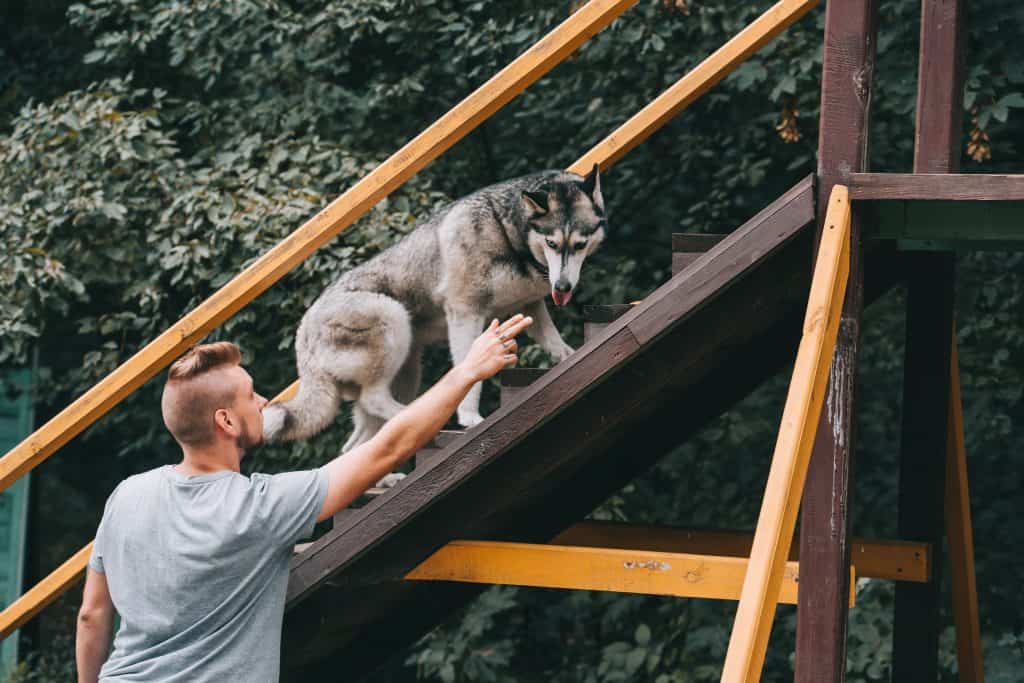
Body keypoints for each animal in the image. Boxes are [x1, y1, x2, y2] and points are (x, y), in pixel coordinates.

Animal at [260, 165, 606, 454]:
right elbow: (469, 373)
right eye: (552, 243)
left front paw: (571, 356)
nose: (563, 287)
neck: (508, 234)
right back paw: (418, 417)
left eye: (579, 244)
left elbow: (558, 345)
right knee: (375, 400)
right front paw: (469, 417)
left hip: (406, 370)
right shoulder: (465, 313)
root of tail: (303, 332)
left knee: (357, 445)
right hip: (394, 319)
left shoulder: (530, 306)